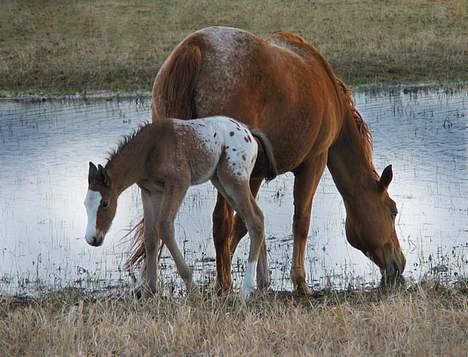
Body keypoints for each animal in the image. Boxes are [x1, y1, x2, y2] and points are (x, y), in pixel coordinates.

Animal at [83, 116, 276, 294]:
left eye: (105, 203)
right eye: (85, 204)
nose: (92, 239)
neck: (149, 151)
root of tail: (248, 132)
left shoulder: (179, 184)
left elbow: (164, 226)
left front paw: (192, 288)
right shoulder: (150, 192)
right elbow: (150, 237)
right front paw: (149, 291)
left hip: (234, 179)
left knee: (254, 220)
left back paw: (246, 289)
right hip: (221, 181)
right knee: (256, 218)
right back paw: (262, 285)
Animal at [128, 25, 406, 292]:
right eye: (392, 211)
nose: (399, 264)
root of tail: (195, 47)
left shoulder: (257, 174)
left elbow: (247, 224)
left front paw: (257, 277)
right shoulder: (313, 162)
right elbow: (299, 221)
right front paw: (299, 281)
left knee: (159, 228)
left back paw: (152, 284)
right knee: (219, 220)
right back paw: (224, 284)